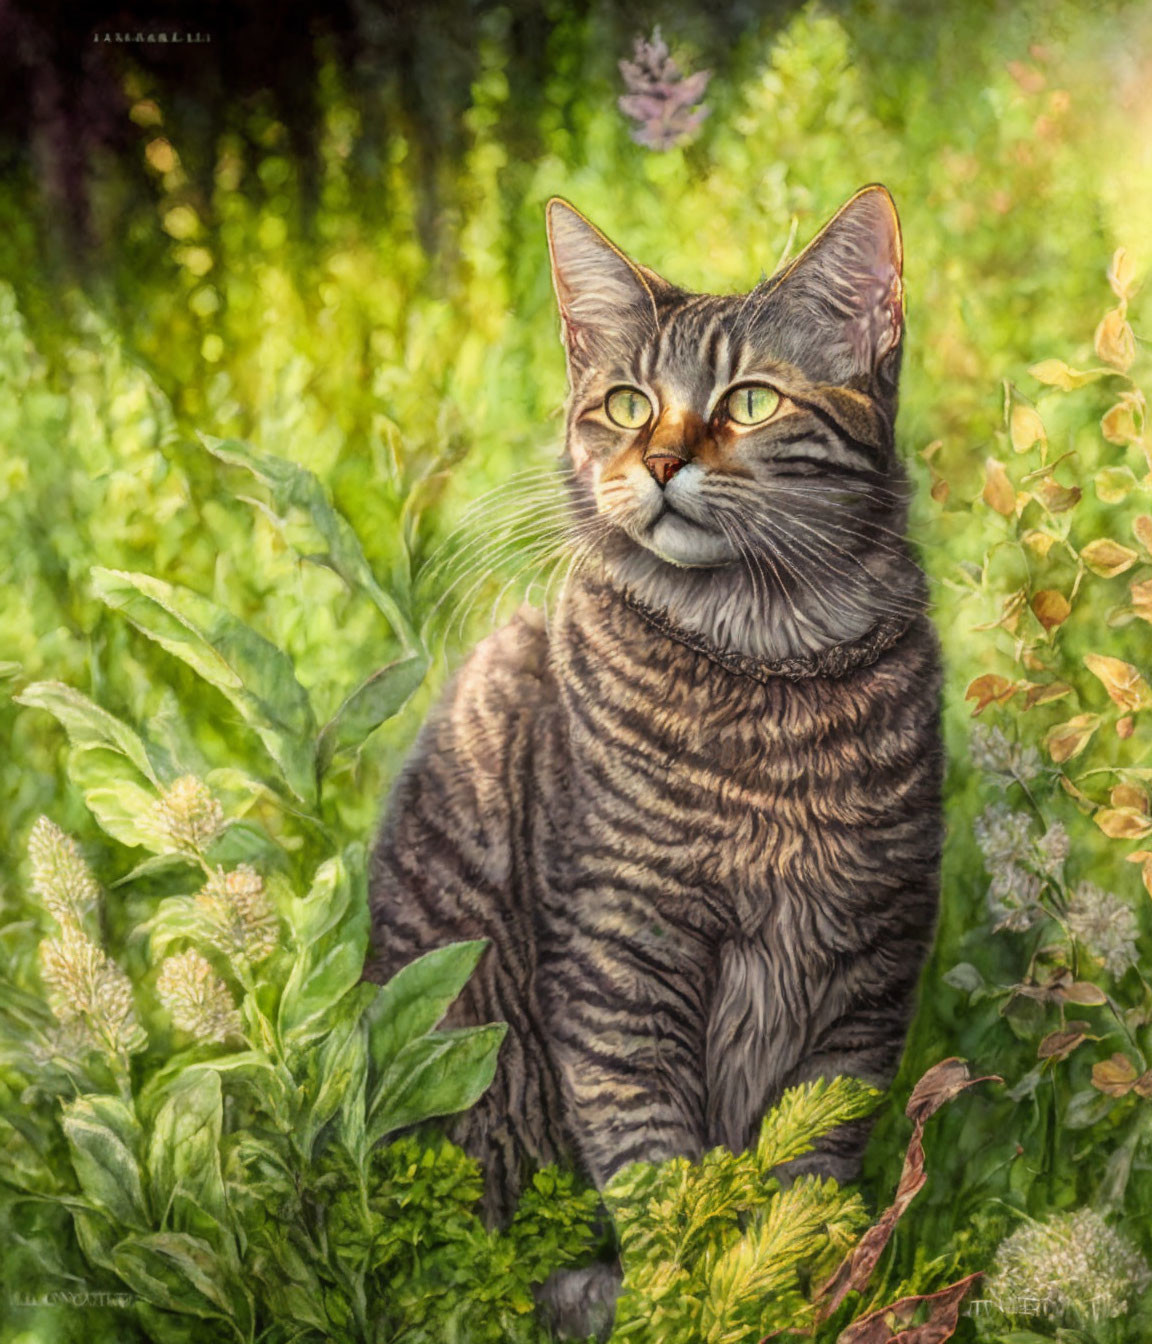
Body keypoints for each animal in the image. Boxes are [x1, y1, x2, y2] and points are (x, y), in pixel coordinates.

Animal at [368, 186, 946, 1333]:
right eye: (630, 407)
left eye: (752, 403)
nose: (662, 462)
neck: (764, 666)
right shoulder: (620, 964)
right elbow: (659, 1178)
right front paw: (686, 1300)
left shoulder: (868, 974)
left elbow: (806, 1178)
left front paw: (795, 1297)